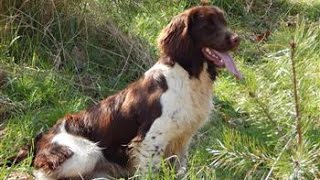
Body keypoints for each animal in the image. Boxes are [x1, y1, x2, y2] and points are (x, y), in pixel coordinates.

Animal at [16, 4, 240, 179]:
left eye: (224, 22)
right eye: (208, 25)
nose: (237, 38)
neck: (188, 75)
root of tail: (41, 138)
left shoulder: (183, 139)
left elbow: (180, 168)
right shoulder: (151, 139)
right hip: (88, 152)